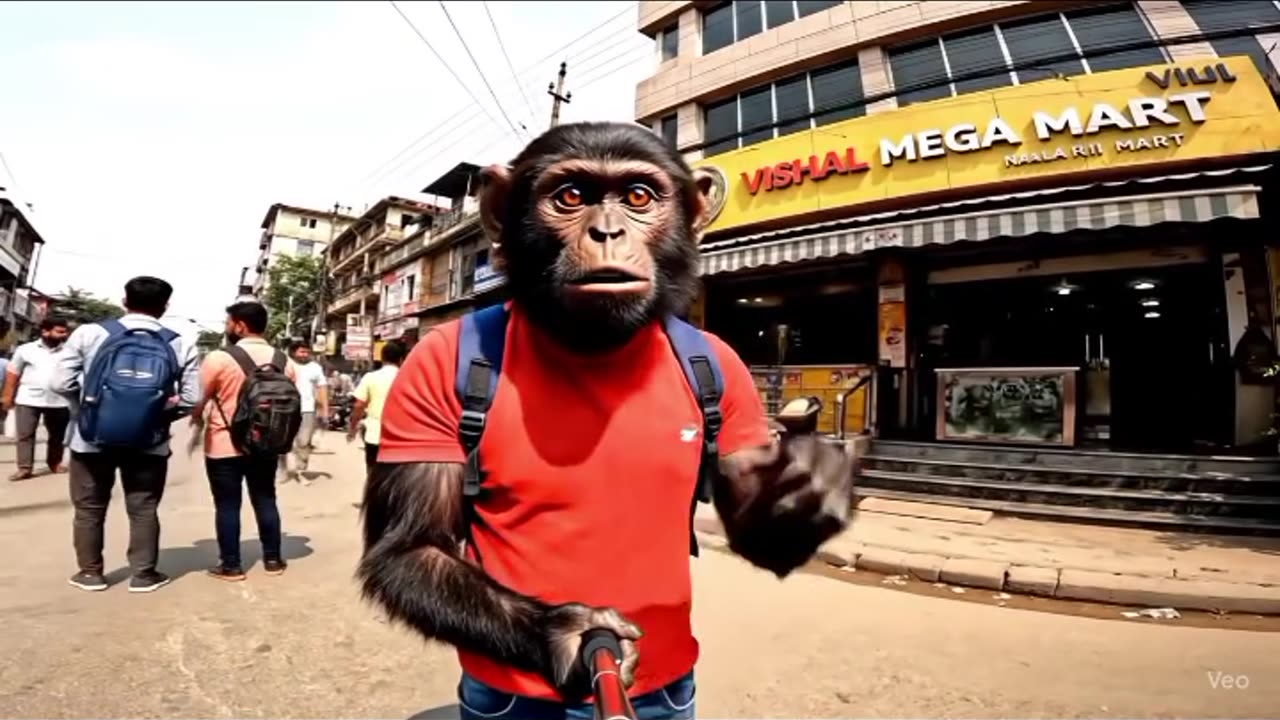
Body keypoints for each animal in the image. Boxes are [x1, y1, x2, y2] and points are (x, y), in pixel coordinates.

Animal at [358, 121, 857, 719]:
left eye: (638, 197)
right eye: (571, 196)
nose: (607, 231)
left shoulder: (732, 374)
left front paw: (805, 482)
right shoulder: (424, 371)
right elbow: (410, 546)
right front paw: (568, 632)